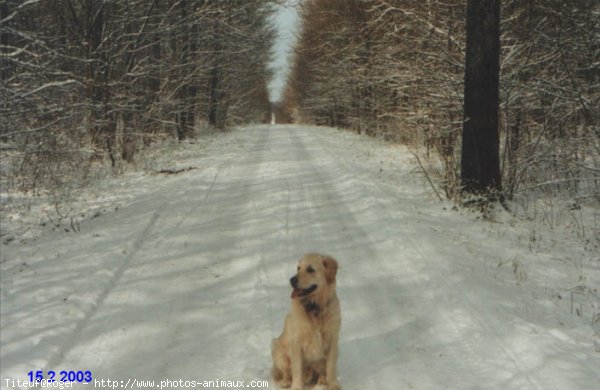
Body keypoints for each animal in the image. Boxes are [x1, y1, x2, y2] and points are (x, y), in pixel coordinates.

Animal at [274, 253, 342, 390]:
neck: (315, 307)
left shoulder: (332, 339)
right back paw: (286, 382)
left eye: (310, 269)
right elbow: (297, 369)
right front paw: (296, 387)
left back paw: (322, 379)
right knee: (287, 371)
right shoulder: (296, 343)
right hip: (278, 350)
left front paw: (332, 384)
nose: (292, 280)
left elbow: (330, 366)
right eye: (298, 268)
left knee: (320, 370)